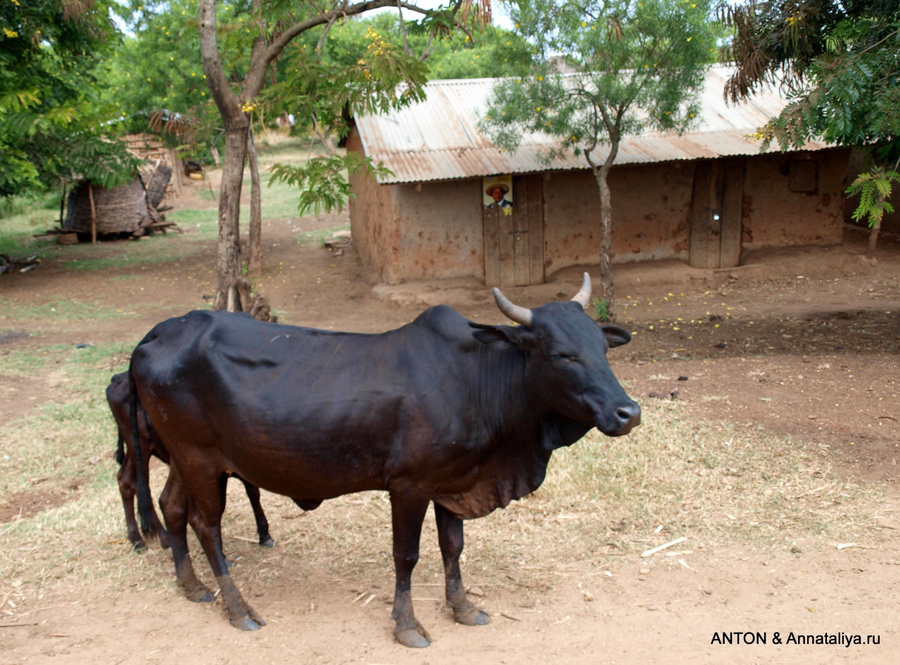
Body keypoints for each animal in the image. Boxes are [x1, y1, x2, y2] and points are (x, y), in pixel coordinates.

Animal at [107, 374, 274, 548]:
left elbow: (252, 492)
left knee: (126, 480)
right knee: (142, 488)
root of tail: (117, 378)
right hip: (140, 445)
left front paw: (264, 534)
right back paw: (161, 537)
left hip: (136, 451)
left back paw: (136, 538)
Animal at [128, 272, 640, 644]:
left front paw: (463, 608)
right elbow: (407, 556)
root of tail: (163, 330)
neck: (479, 379)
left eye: (602, 347)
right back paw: (238, 609)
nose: (628, 412)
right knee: (206, 526)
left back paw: (192, 586)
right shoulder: (409, 487)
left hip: (183, 459)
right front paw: (408, 625)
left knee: (172, 507)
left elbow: (452, 548)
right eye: (561, 354)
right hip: (200, 460)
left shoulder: (452, 484)